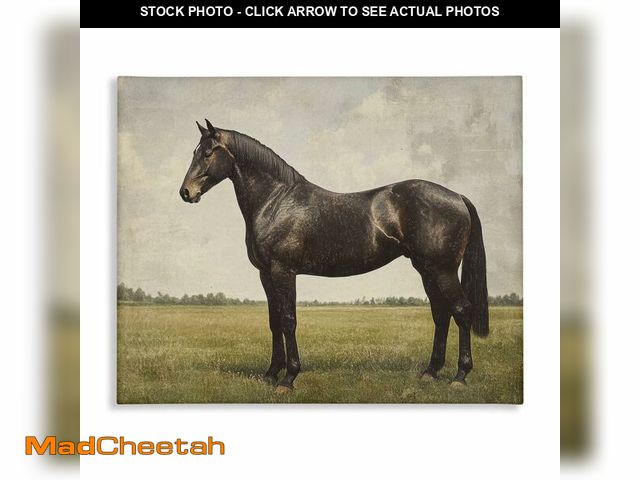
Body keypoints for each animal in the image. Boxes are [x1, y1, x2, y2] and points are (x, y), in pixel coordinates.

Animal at [180, 119, 489, 393]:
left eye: (208, 153)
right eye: (195, 152)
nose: (185, 192)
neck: (276, 201)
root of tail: (457, 197)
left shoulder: (283, 271)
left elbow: (288, 320)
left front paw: (288, 379)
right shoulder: (265, 274)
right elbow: (274, 321)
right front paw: (270, 374)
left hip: (443, 270)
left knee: (462, 310)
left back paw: (460, 377)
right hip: (426, 270)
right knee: (441, 314)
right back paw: (430, 373)